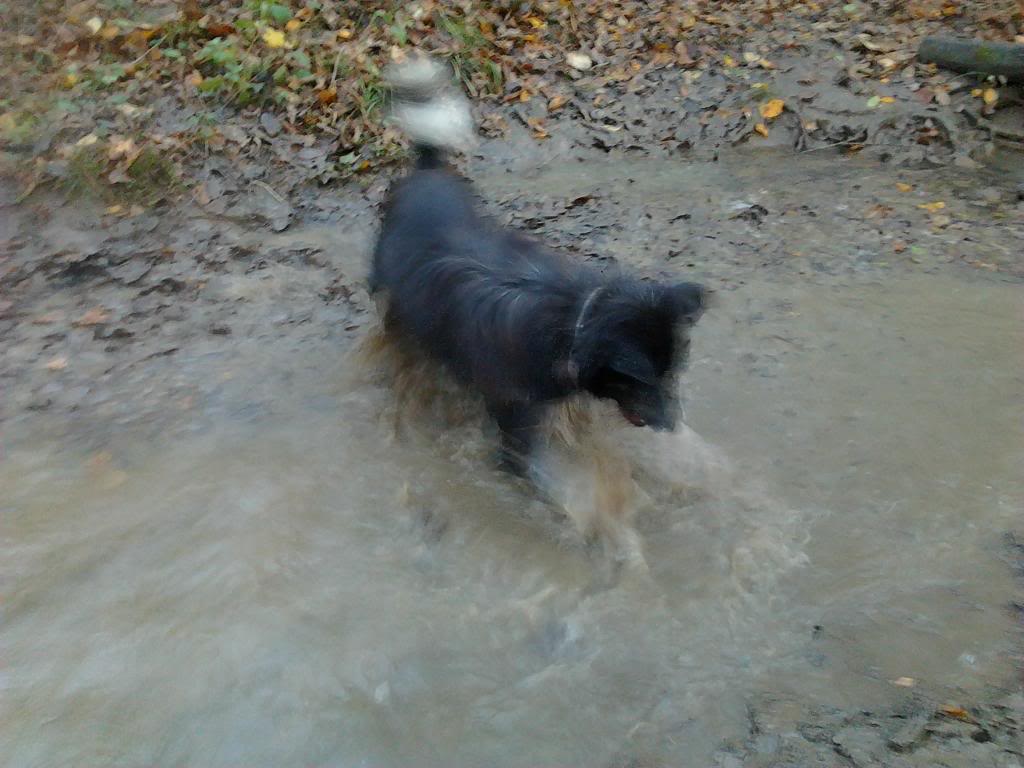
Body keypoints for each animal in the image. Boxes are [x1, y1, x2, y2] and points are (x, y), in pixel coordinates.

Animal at [372, 57, 708, 475]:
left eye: (671, 375)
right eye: (644, 383)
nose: (671, 426)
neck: (577, 324)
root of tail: (427, 169)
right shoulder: (513, 411)